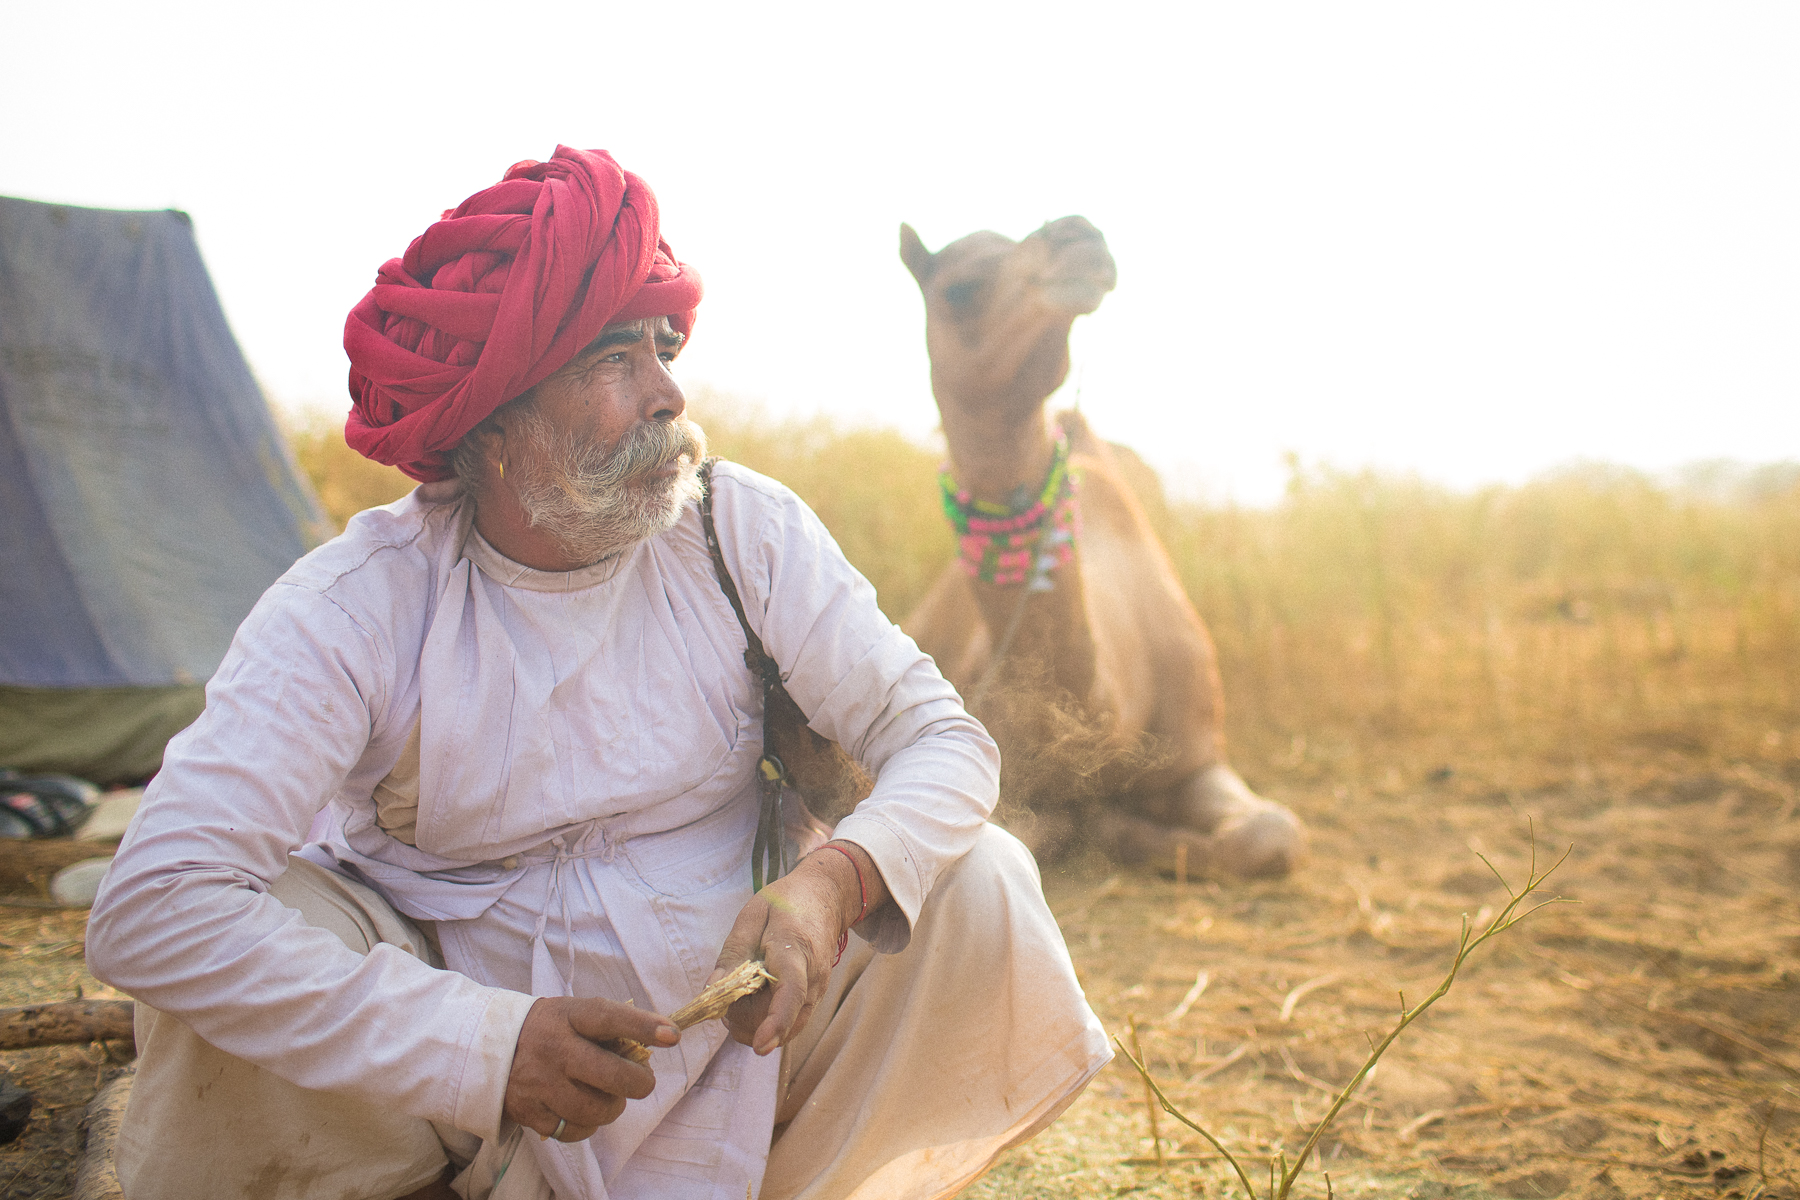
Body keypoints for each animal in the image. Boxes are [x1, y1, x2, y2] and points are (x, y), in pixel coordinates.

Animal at [898, 215, 1306, 878]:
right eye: (960, 289)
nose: (1079, 235)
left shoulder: (1201, 751)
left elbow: (1272, 832)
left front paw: (1130, 827)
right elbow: (1036, 826)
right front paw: (1111, 826)